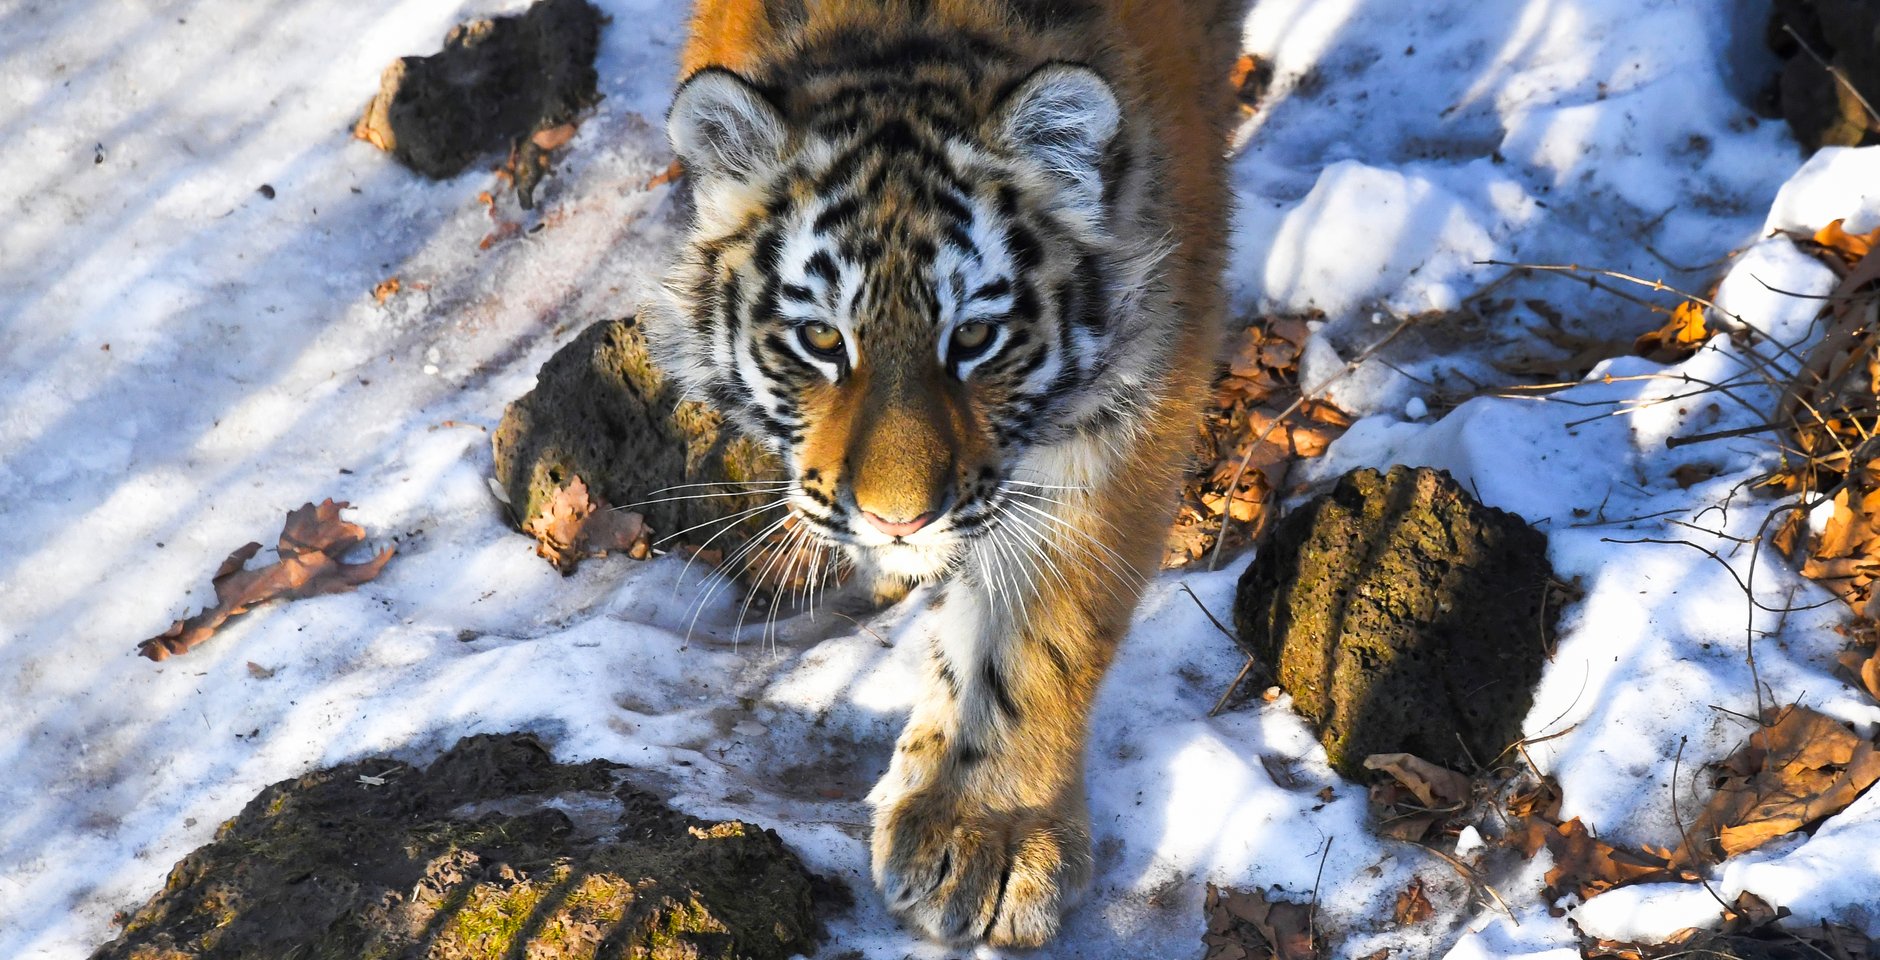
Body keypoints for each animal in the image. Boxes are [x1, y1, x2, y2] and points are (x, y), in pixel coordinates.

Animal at [650, 0, 1246, 947]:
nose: (900, 520)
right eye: (820, 339)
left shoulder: (1139, 388)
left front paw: (987, 831)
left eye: (973, 337)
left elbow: (1040, 629)